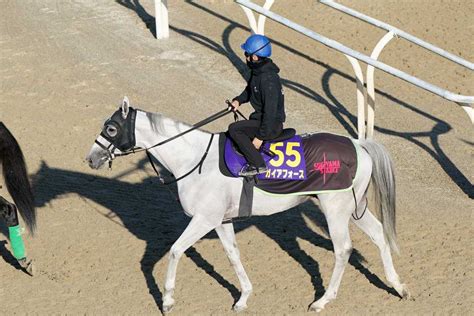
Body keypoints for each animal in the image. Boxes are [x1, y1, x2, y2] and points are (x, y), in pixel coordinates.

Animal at [86, 97, 412, 312]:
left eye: (112, 128)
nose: (91, 158)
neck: (195, 160)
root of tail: (359, 145)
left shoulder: (204, 219)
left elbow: (176, 250)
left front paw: (167, 300)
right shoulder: (221, 221)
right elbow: (233, 255)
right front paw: (244, 296)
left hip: (335, 210)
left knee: (343, 249)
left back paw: (322, 300)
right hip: (353, 209)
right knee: (380, 235)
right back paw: (398, 287)